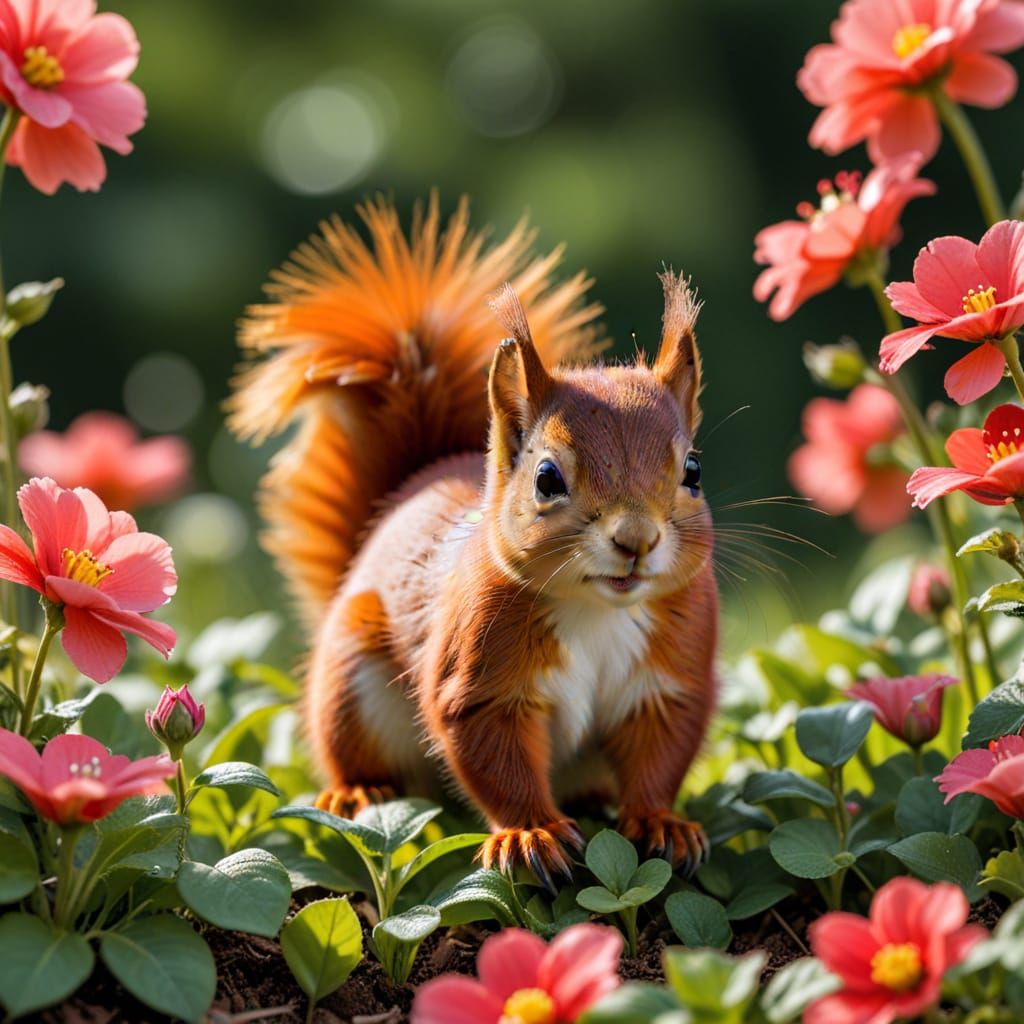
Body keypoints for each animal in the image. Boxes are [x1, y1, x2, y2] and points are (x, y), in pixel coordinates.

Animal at [230, 195, 718, 886]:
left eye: (694, 471)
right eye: (547, 478)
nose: (636, 540)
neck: (597, 609)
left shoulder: (670, 675)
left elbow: (661, 754)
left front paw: (659, 821)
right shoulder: (479, 673)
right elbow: (495, 757)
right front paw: (532, 834)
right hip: (351, 681)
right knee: (356, 757)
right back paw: (356, 793)